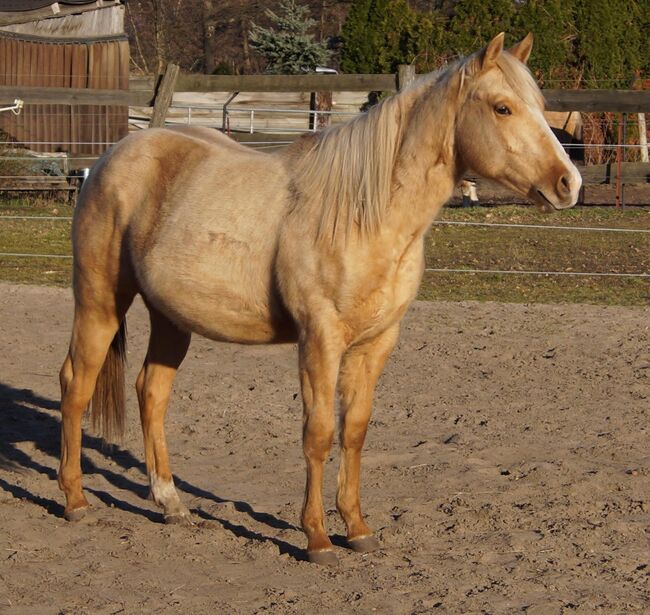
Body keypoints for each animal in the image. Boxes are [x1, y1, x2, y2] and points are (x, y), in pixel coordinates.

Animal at [58, 32, 580, 564]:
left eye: (540, 106)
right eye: (502, 107)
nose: (569, 183)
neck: (363, 213)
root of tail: (112, 156)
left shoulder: (376, 343)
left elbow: (354, 431)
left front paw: (358, 528)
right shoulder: (320, 339)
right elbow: (319, 433)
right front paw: (317, 537)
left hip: (171, 318)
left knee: (151, 392)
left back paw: (170, 504)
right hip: (100, 301)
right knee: (76, 384)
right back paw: (75, 499)